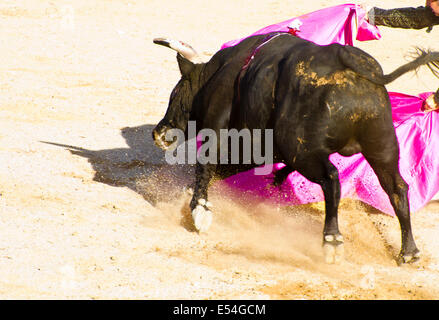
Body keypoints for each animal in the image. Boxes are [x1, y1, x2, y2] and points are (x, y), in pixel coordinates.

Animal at [152, 32, 439, 264]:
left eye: (175, 93)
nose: (158, 132)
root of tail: (352, 64)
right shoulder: (258, 148)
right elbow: (224, 169)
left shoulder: (226, 134)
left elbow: (207, 165)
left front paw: (199, 211)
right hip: (382, 145)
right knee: (397, 188)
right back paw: (408, 252)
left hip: (300, 150)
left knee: (331, 179)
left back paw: (332, 240)